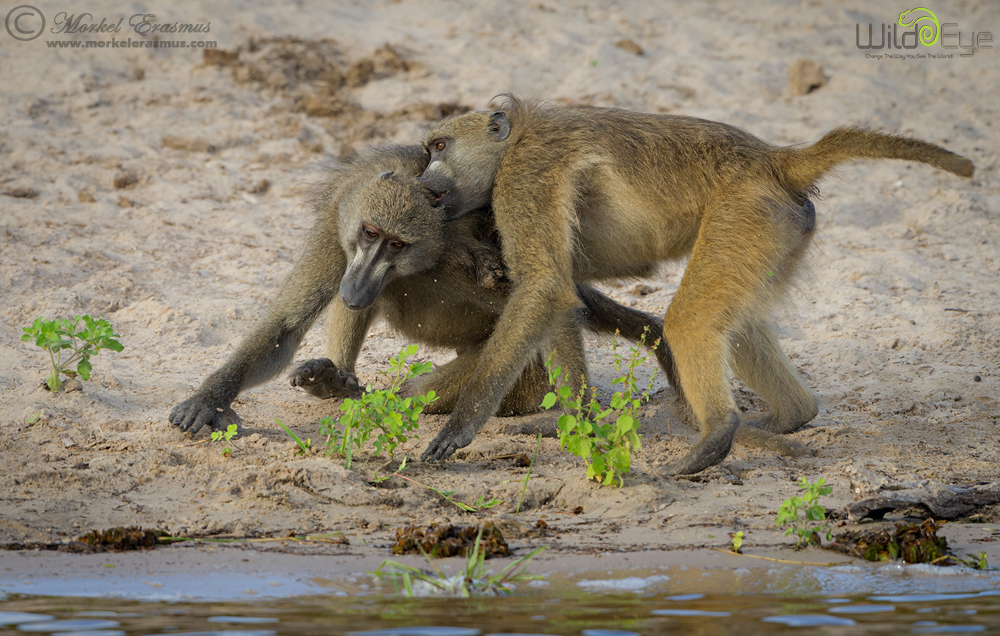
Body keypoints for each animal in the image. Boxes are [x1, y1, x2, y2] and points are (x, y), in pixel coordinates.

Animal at [168, 143, 675, 435]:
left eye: (397, 244)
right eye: (369, 233)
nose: (356, 285)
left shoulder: (477, 256)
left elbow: (550, 299)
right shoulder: (339, 223)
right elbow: (286, 325)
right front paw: (208, 399)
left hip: (528, 386)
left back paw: (374, 397)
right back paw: (336, 381)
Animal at [415, 95, 975, 474]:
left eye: (440, 146)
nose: (423, 185)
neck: (514, 141)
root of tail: (771, 159)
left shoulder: (526, 178)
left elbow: (545, 286)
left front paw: (458, 429)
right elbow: (558, 293)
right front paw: (570, 422)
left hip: (746, 212)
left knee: (692, 320)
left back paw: (716, 436)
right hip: (778, 228)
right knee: (739, 322)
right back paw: (787, 417)